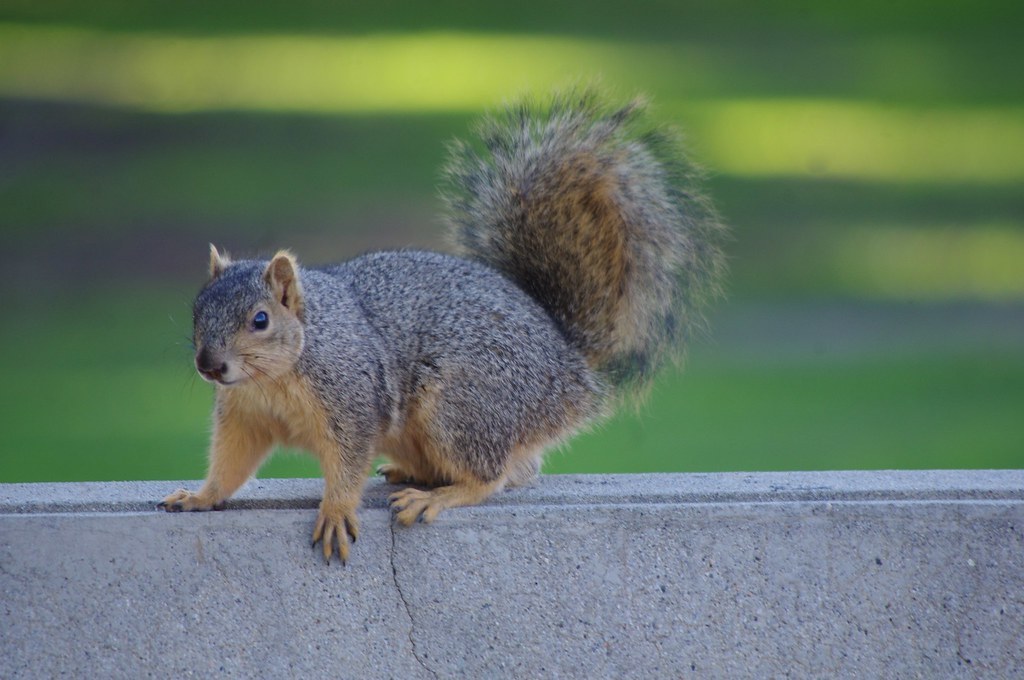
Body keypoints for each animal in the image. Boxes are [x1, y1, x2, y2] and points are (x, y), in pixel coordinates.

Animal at [158, 89, 727, 564]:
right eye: (196, 311)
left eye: (260, 319)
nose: (209, 366)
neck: (275, 376)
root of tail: (568, 367)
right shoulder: (244, 416)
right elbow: (231, 463)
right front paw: (200, 496)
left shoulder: (351, 401)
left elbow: (347, 464)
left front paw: (337, 511)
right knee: (519, 470)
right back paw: (412, 472)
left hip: (462, 404)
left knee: (493, 476)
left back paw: (441, 495)